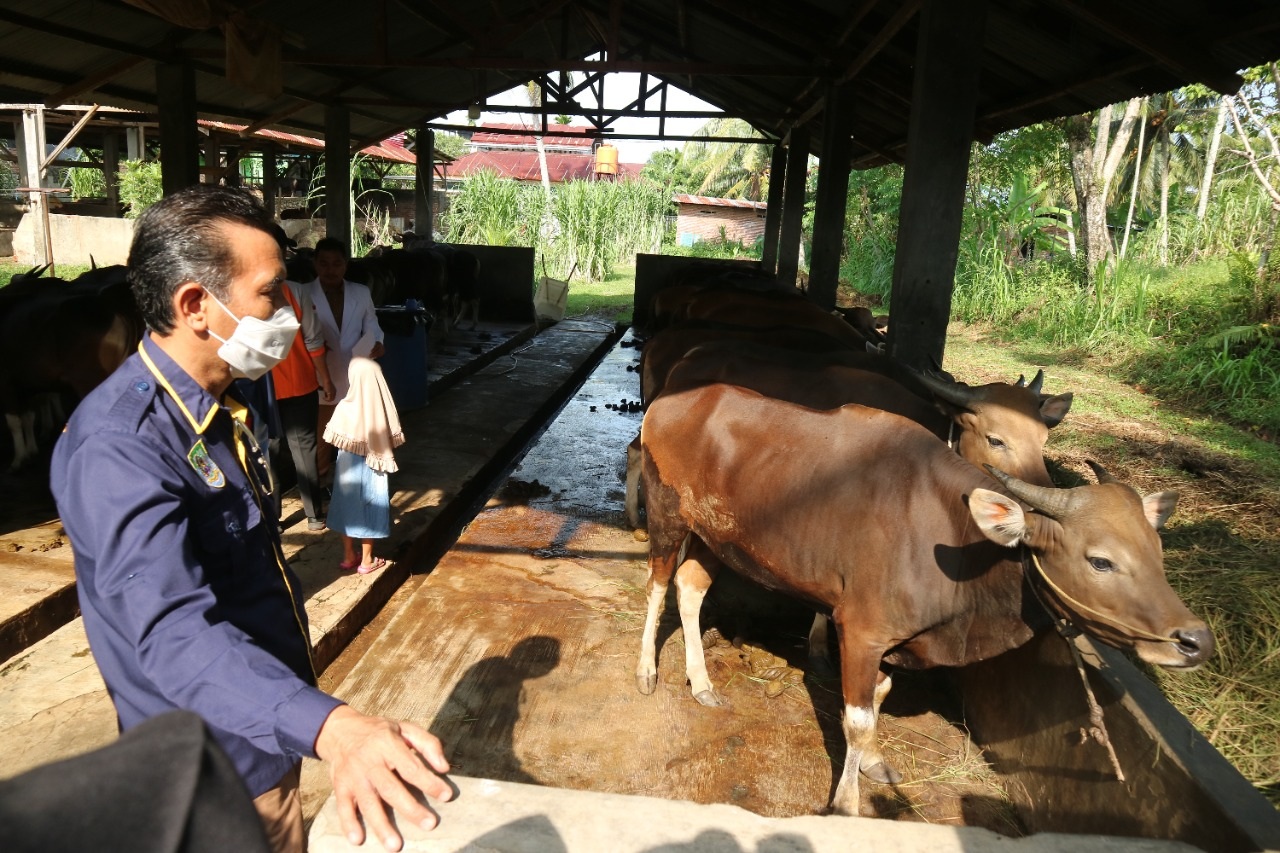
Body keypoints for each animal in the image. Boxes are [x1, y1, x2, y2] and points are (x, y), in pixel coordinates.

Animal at [637, 381, 1208, 814]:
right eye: (1101, 560)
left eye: (1157, 550)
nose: (1194, 639)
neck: (953, 535)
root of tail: (669, 403)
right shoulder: (861, 631)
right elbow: (856, 717)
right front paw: (846, 803)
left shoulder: (892, 641)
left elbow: (880, 698)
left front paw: (872, 760)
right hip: (667, 515)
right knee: (659, 584)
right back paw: (647, 671)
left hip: (716, 537)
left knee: (690, 586)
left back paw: (701, 682)